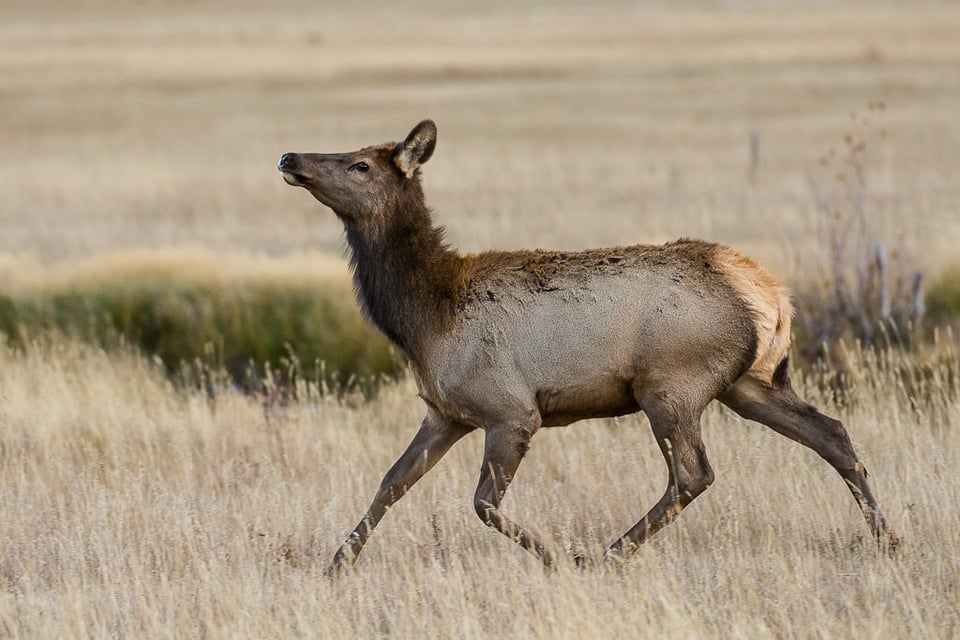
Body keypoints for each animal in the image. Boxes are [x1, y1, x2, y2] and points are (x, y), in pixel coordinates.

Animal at [278, 120, 900, 576]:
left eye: (361, 164)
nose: (289, 158)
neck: (425, 318)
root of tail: (774, 296)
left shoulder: (509, 409)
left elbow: (482, 502)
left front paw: (559, 555)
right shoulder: (445, 412)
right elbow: (391, 483)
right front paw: (336, 564)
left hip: (671, 382)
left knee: (693, 473)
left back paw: (607, 553)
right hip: (754, 382)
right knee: (831, 433)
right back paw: (887, 538)